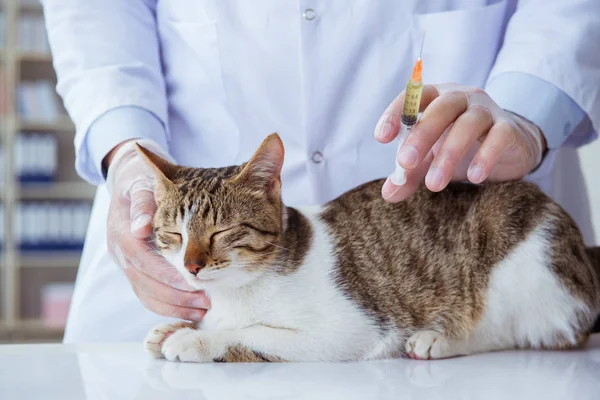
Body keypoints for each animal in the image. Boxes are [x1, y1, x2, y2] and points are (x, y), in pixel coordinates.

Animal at [138, 134, 600, 362]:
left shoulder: (352, 330)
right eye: (174, 235)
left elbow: (254, 334)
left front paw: (196, 340)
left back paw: (439, 340)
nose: (192, 266)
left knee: (527, 332)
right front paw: (177, 327)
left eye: (220, 233)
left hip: (523, 261)